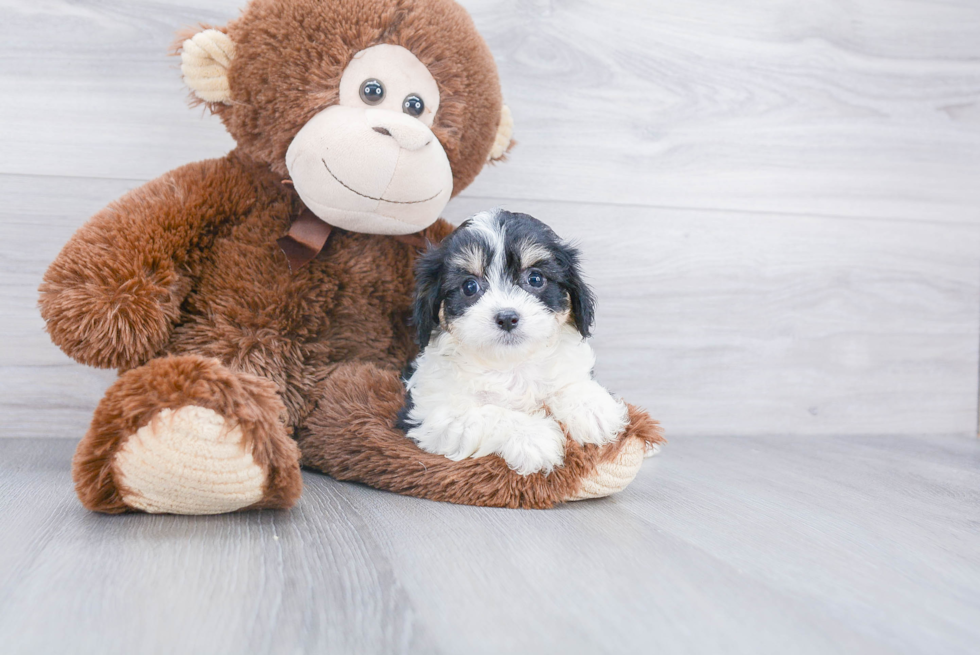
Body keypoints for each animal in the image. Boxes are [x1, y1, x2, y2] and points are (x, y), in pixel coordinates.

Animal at [396, 210, 628, 476]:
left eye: (535, 278)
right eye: (469, 286)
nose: (507, 317)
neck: (510, 364)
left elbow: (569, 381)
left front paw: (592, 409)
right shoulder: (432, 414)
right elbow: (490, 413)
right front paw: (532, 436)